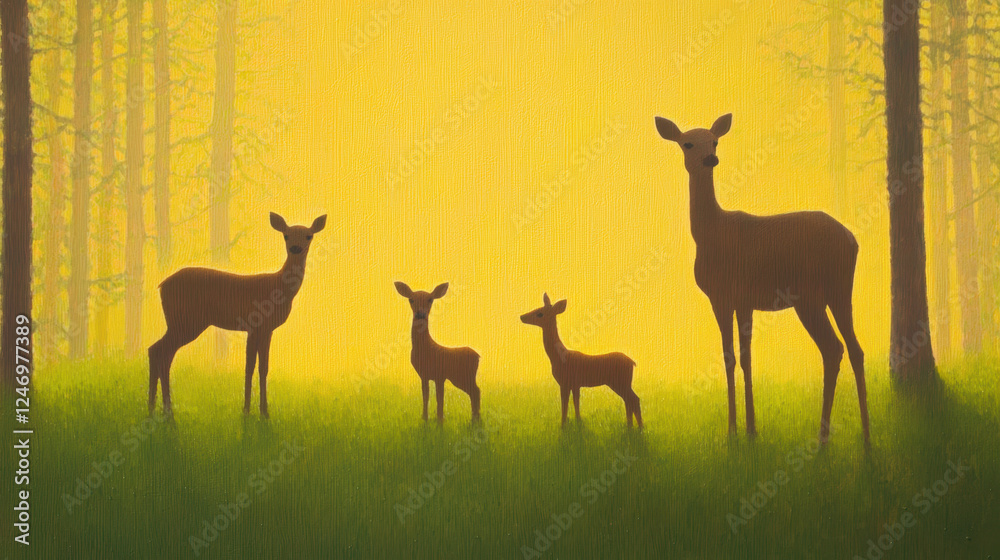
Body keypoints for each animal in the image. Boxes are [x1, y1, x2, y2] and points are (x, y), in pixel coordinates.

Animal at [148, 212, 327, 418]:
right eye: (286, 235)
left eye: (308, 236)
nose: (295, 248)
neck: (278, 287)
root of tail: (162, 285)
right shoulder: (255, 325)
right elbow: (249, 367)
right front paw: (247, 411)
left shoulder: (266, 330)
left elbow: (263, 368)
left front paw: (264, 412)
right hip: (186, 320)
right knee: (161, 351)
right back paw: (166, 410)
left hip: (180, 322)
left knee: (158, 350)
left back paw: (154, 409)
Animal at [393, 282, 481, 423]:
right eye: (411, 299)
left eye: (430, 299)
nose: (420, 313)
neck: (426, 349)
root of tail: (478, 356)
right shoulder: (424, 375)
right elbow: (426, 396)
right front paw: (425, 418)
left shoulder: (440, 374)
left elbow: (440, 398)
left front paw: (440, 420)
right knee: (475, 392)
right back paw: (475, 418)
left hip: (462, 376)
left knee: (476, 391)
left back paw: (475, 419)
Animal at [520, 294, 643, 428]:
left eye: (540, 314)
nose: (522, 317)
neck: (558, 356)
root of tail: (633, 362)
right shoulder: (576, 384)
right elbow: (576, 402)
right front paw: (578, 420)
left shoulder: (565, 382)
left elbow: (565, 404)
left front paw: (563, 424)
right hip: (622, 382)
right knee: (629, 400)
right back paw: (631, 425)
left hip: (619, 381)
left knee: (633, 399)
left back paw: (638, 427)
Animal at [654, 113, 869, 447]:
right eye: (687, 143)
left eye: (714, 141)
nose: (710, 158)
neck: (711, 233)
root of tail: (852, 240)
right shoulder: (742, 301)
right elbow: (744, 358)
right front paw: (750, 430)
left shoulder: (724, 295)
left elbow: (731, 358)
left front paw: (734, 430)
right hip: (840, 290)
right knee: (856, 349)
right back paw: (866, 440)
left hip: (809, 295)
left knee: (833, 348)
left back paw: (822, 440)